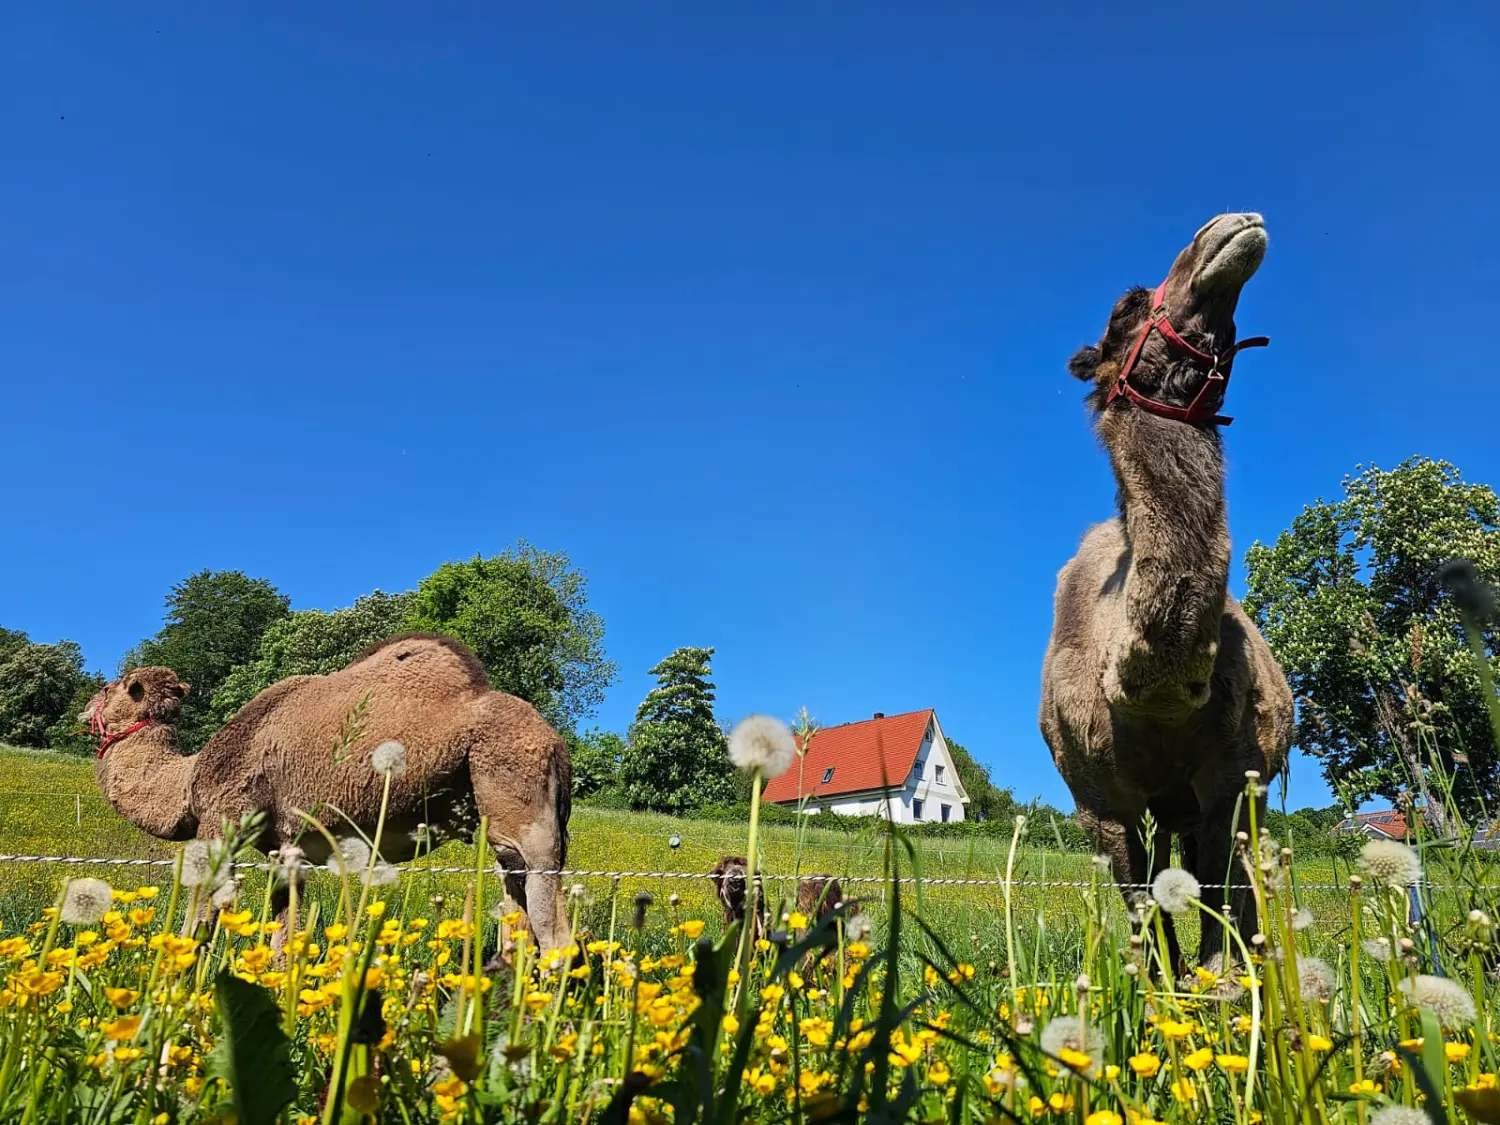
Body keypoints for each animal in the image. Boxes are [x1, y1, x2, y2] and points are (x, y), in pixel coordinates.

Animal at [90, 636, 573, 954]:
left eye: (110, 689)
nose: (86, 707)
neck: (189, 782)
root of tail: (556, 743)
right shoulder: (284, 848)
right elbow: (283, 937)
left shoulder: (221, 824)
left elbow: (196, 925)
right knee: (516, 914)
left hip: (520, 800)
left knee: (554, 929)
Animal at [1038, 213, 1296, 978]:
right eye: (1126, 307)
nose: (1233, 224)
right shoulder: (1098, 798)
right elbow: (1141, 903)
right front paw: (1155, 984)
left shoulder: (1231, 776)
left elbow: (1219, 890)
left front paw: (1219, 982)